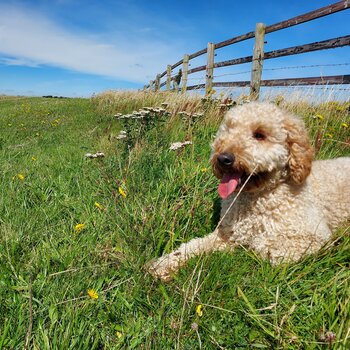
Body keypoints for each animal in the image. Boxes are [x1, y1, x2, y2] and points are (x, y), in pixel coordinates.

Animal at [148, 102, 350, 282]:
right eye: (228, 130)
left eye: (259, 135)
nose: (223, 158)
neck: (256, 196)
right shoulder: (225, 234)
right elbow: (192, 246)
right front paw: (165, 264)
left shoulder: (311, 237)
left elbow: (265, 247)